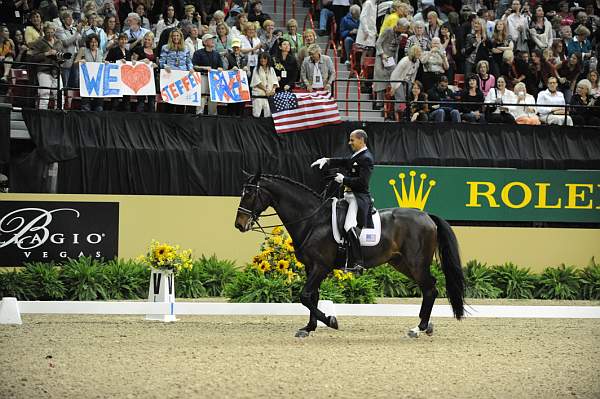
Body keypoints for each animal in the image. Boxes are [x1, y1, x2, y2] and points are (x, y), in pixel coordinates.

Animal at [233, 173, 464, 340]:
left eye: (249, 194)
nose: (239, 224)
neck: (313, 219)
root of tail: (427, 216)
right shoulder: (311, 267)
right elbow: (312, 296)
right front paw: (308, 328)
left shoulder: (320, 266)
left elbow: (305, 296)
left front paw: (331, 321)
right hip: (402, 263)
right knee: (429, 288)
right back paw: (426, 326)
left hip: (416, 263)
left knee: (430, 289)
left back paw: (418, 328)